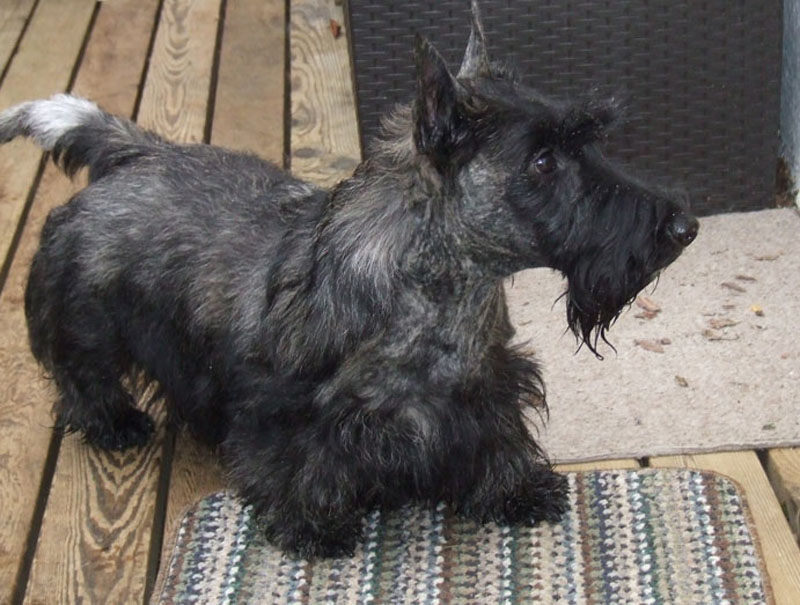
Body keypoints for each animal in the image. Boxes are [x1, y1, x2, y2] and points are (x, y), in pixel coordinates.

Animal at [0, 1, 697, 558]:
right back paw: (116, 424)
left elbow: (498, 439)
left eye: (589, 143)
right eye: (544, 161)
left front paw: (517, 490)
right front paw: (315, 524)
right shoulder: (293, 414)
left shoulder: (487, 388)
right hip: (85, 318)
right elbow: (301, 464)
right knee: (81, 378)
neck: (442, 295)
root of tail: (137, 154)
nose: (683, 227)